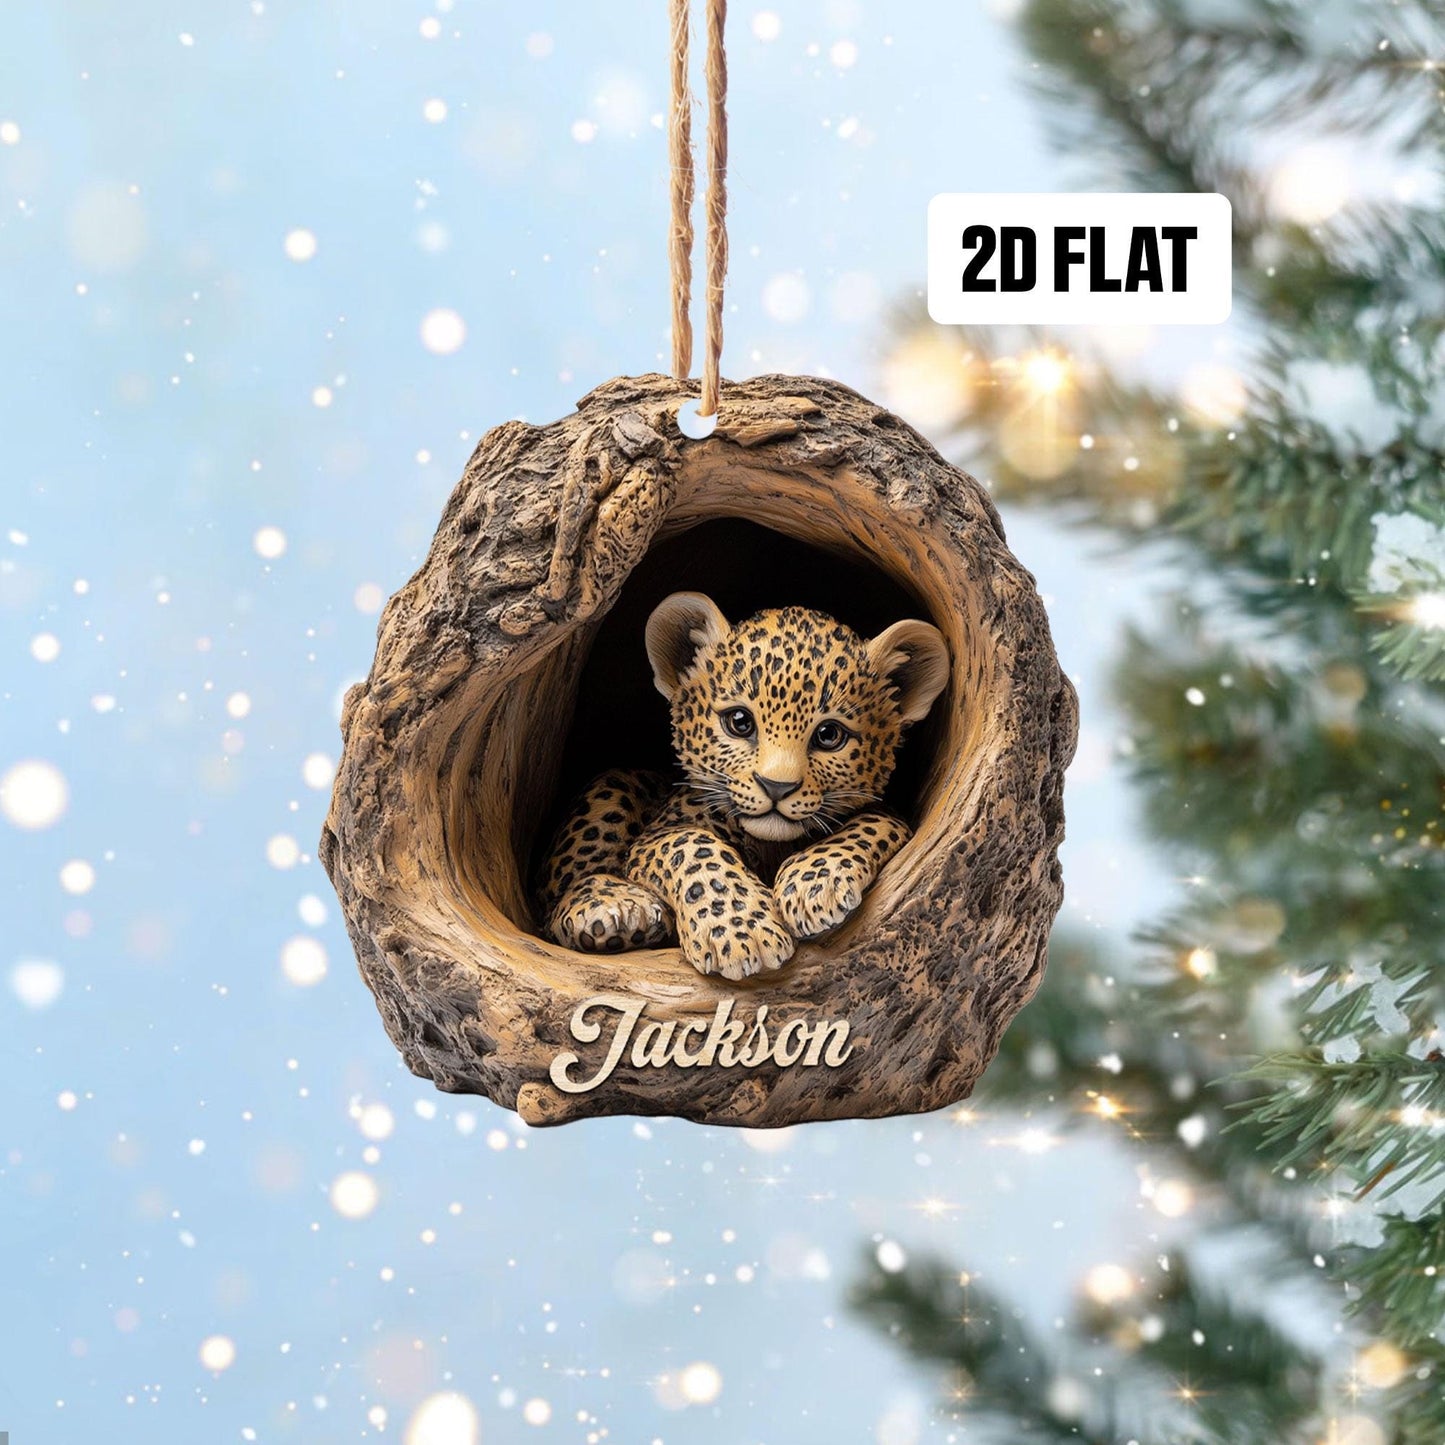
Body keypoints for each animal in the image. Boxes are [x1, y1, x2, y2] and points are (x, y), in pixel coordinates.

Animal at [535, 591, 950, 981]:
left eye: (829, 735)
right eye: (739, 722)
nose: (776, 787)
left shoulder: (885, 811)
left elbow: (874, 822)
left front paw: (813, 884)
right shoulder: (659, 833)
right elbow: (693, 847)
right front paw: (741, 933)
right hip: (612, 787)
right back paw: (616, 908)